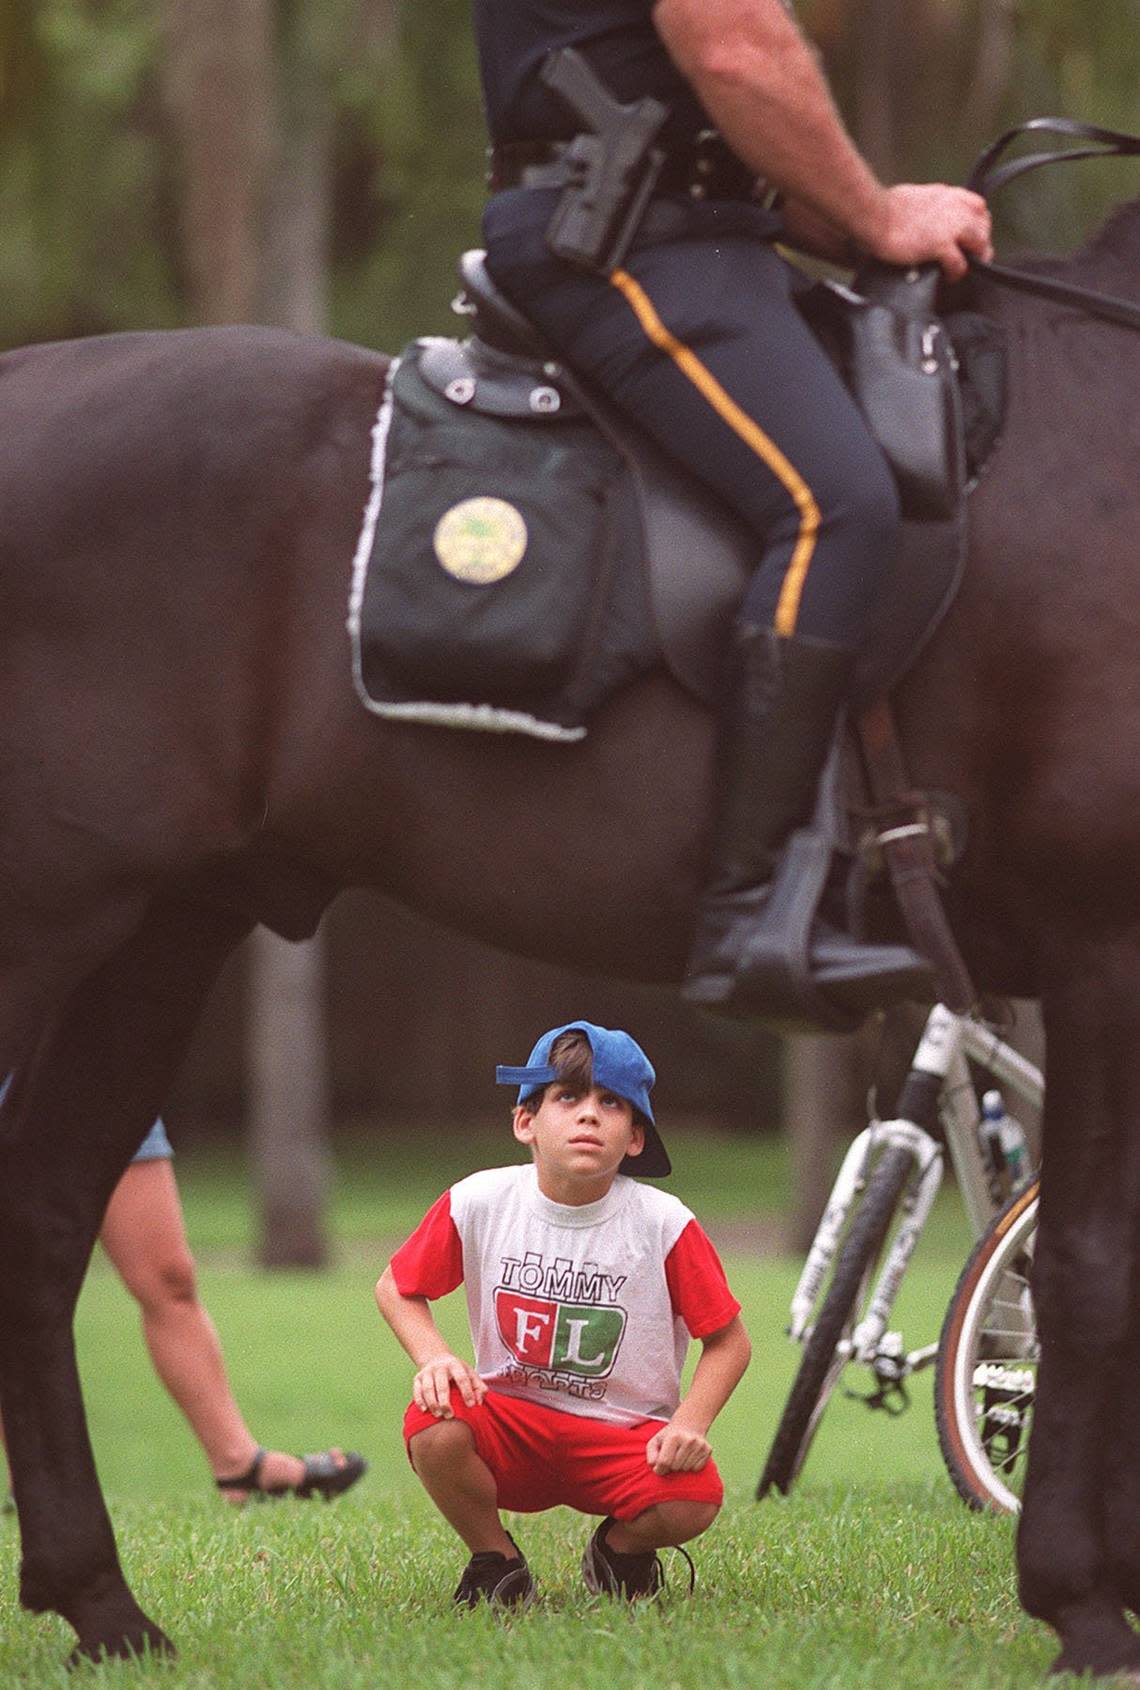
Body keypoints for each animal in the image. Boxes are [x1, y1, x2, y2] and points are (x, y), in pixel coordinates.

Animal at [2, 152, 1140, 1669]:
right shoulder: (1102, 942)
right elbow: (1087, 1264)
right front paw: (1085, 1596)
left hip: (155, 933)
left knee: (41, 1217)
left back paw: (101, 1601)